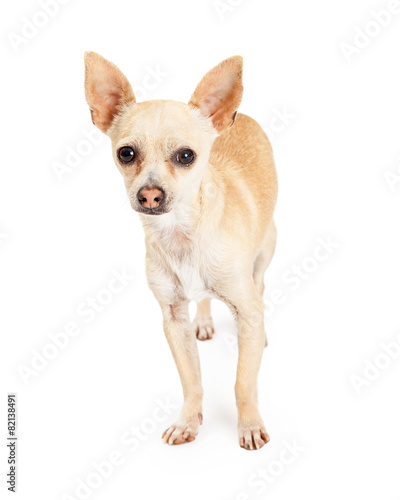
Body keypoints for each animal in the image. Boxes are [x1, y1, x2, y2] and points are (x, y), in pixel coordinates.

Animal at [83, 52, 278, 452]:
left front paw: (249, 425)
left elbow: (243, 380)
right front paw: (188, 421)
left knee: (261, 286)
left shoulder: (247, 310)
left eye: (186, 156)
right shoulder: (173, 319)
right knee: (202, 300)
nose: (149, 194)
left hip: (266, 249)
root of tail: (240, 116)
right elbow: (191, 379)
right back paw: (203, 321)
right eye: (126, 154)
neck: (182, 236)